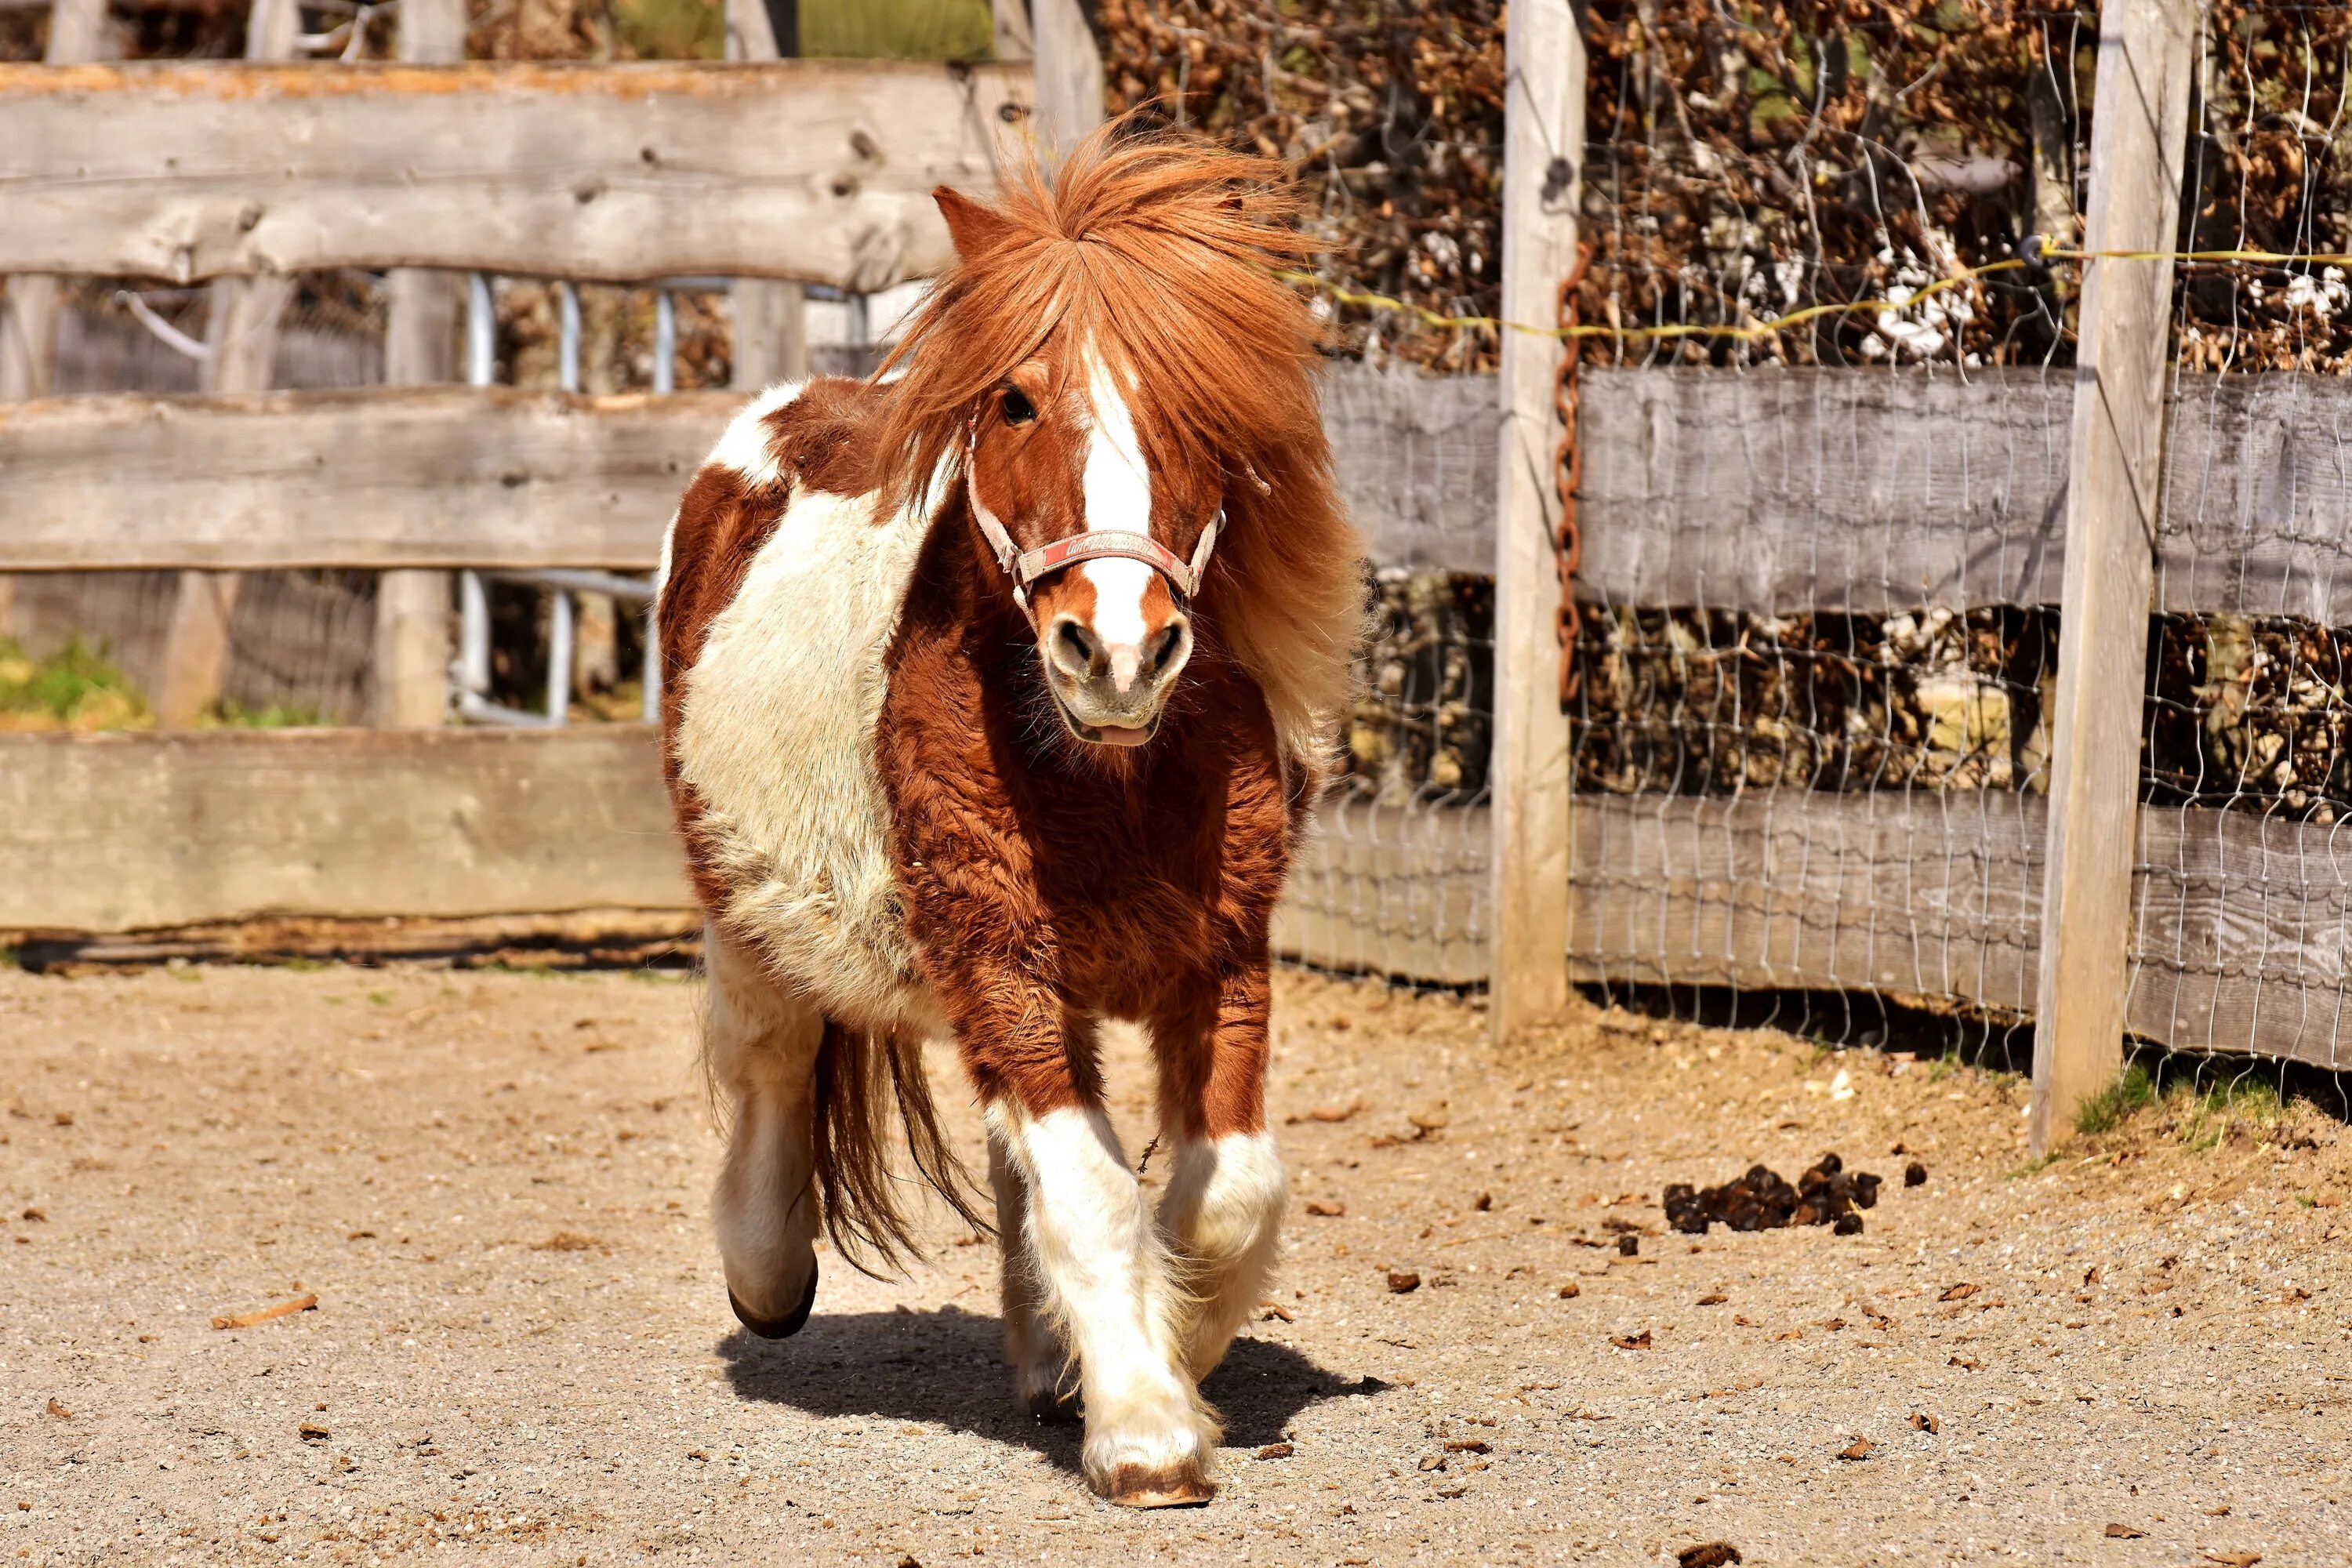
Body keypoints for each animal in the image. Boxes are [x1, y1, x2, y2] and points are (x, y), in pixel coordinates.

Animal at [659, 125, 1364, 1504]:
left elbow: (1226, 1190)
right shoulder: (1000, 959)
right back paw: (770, 1275)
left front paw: (1169, 1343)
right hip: (749, 904)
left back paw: (1049, 1357)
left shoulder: (1225, 960)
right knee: (770, 1060)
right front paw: (1145, 1427)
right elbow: (1090, 1187)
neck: (1110, 778)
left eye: (1199, 409)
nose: (1119, 650)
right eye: (1017, 401)